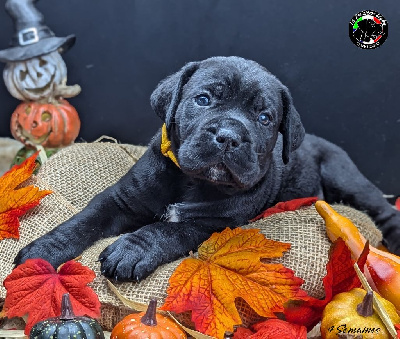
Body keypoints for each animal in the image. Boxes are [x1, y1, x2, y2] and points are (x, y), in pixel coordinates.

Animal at [14, 57, 400, 282]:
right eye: (203, 100)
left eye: (264, 118)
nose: (228, 136)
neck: (191, 181)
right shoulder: (120, 199)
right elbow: (83, 220)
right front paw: (43, 251)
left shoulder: (212, 224)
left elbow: (166, 231)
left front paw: (131, 250)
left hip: (344, 176)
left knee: (382, 209)